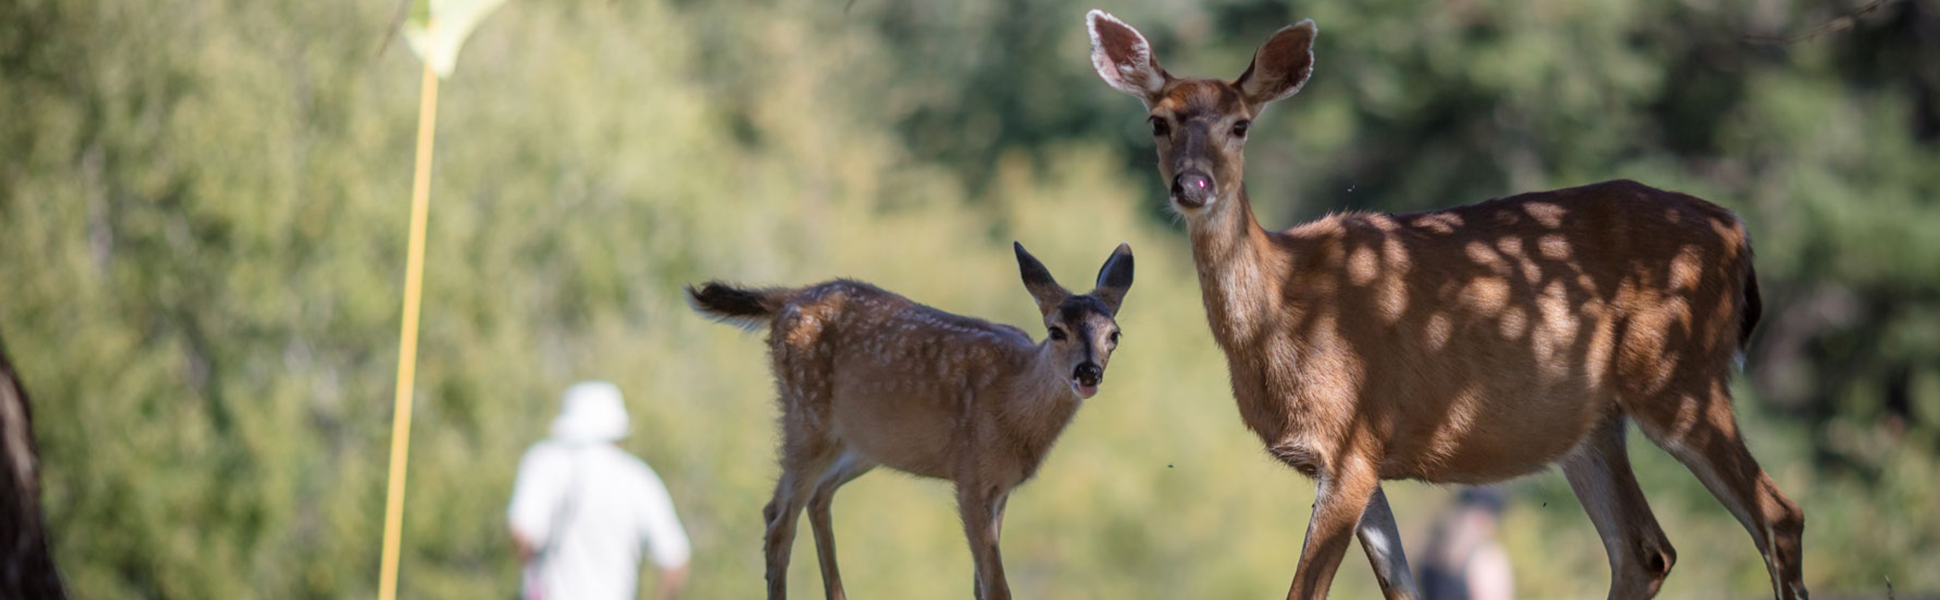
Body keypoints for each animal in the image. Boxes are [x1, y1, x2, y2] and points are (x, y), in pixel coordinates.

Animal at [686, 240, 1132, 594]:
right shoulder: (971, 476)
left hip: (861, 442)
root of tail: (785, 298)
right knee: (779, 520)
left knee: (814, 497)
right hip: (805, 414)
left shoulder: (1001, 488)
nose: (1087, 372)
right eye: (1056, 331)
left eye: (1114, 335)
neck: (1013, 408)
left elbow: (980, 585)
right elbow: (997, 587)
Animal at [1094, 9, 1800, 598]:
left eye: (1241, 124)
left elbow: (1306, 591)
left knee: (1778, 516)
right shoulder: (1355, 456)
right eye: (1158, 122)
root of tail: (1738, 232)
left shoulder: (1351, 438)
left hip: (1680, 376)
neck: (1284, 314)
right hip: (1595, 426)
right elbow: (1402, 588)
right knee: (1646, 550)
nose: (1192, 184)